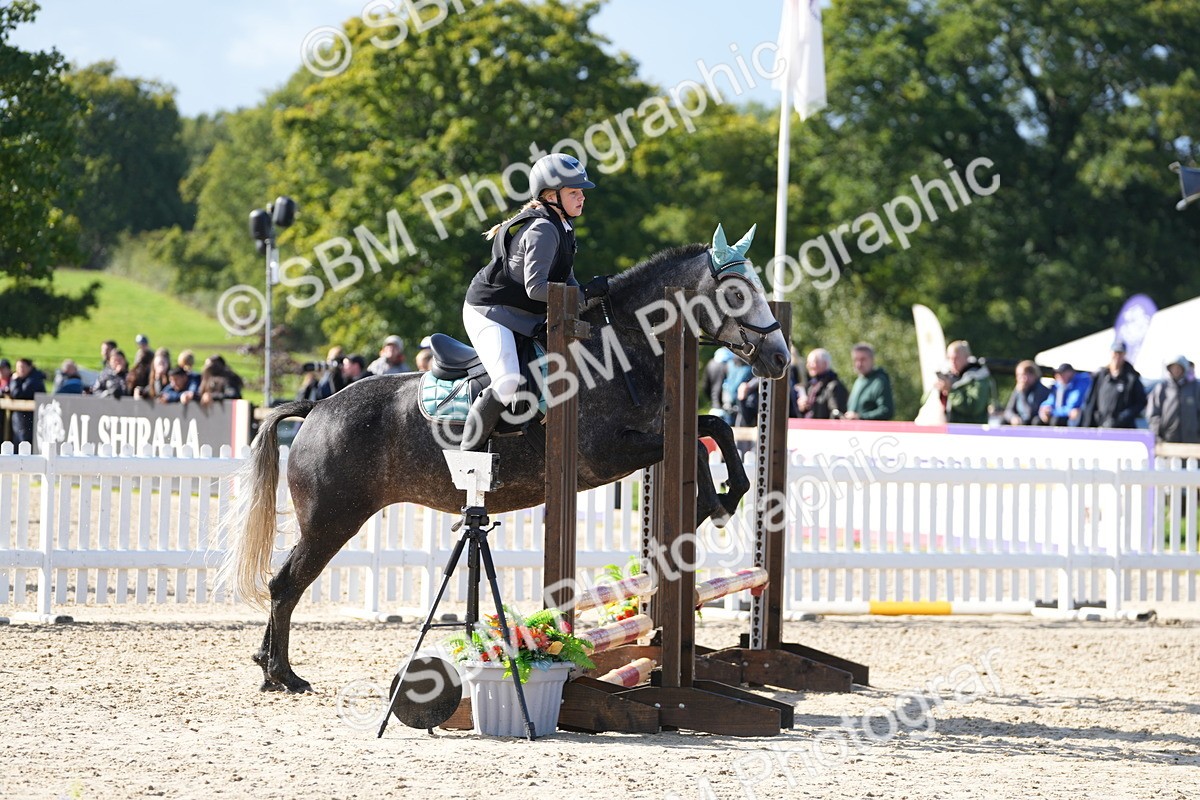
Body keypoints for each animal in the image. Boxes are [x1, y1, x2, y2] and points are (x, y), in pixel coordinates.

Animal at [218, 224, 791, 692]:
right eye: (736, 292)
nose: (780, 358)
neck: (619, 347)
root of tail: (317, 407)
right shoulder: (605, 455)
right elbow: (692, 445)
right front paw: (711, 505)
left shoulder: (650, 433)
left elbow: (713, 428)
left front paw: (728, 495)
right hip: (332, 519)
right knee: (286, 583)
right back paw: (283, 674)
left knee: (286, 583)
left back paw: (269, 668)